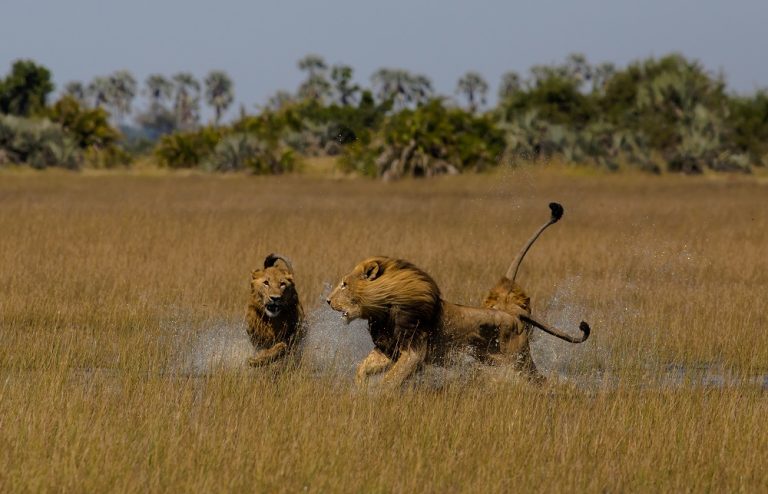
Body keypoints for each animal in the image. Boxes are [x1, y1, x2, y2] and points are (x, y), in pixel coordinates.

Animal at [326, 203, 588, 388]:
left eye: (344, 284)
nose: (327, 301)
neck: (383, 309)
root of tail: (511, 313)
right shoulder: (388, 348)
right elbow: (363, 367)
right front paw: (360, 388)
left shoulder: (414, 349)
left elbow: (393, 378)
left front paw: (377, 394)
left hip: (518, 361)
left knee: (539, 380)